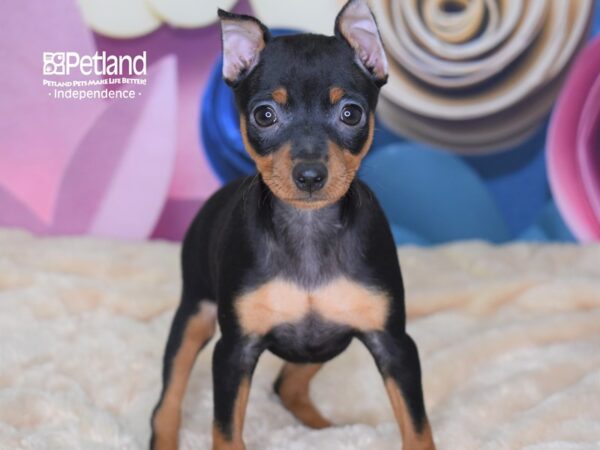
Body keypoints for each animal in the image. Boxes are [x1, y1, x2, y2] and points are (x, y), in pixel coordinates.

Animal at [148, 1, 434, 448]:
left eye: (351, 113)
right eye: (265, 115)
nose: (311, 175)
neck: (308, 227)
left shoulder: (394, 345)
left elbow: (418, 429)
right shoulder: (233, 351)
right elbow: (225, 432)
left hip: (329, 339)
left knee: (287, 384)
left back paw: (328, 430)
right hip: (194, 314)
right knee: (167, 403)